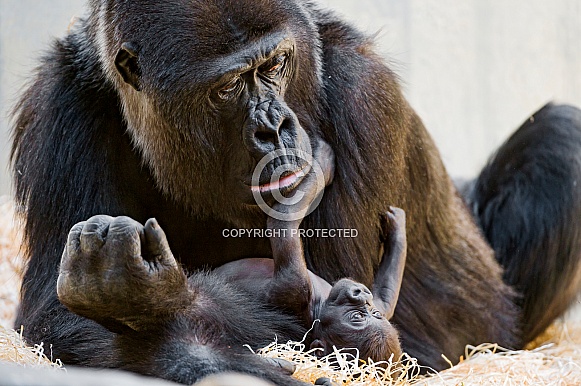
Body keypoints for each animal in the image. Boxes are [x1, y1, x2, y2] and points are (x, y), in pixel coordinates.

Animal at [212, 208, 404, 362]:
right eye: (372, 313)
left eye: (356, 317)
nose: (361, 293)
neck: (321, 303)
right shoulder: (382, 308)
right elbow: (385, 296)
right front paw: (398, 231)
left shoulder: (293, 291)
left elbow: (289, 260)